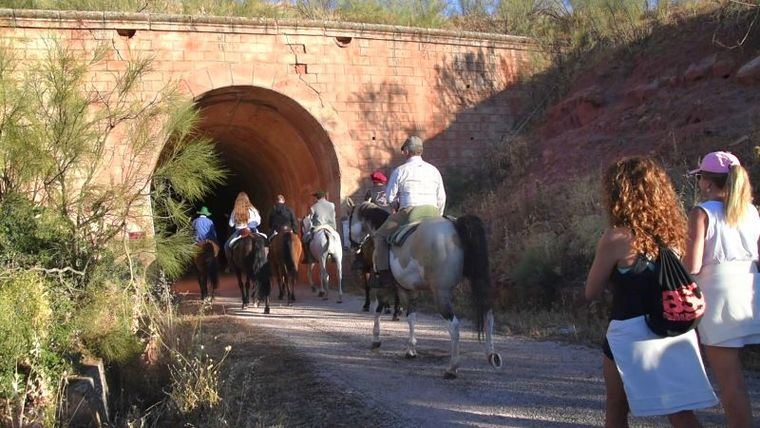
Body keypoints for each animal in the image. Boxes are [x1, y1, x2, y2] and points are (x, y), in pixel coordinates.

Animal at [346, 199, 502, 380]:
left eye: (348, 219)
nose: (352, 246)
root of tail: (455, 225)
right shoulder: (410, 290)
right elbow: (411, 317)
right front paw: (411, 349)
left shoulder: (391, 287)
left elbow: (380, 310)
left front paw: (376, 339)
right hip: (477, 281)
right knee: (488, 315)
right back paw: (491, 355)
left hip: (441, 293)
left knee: (454, 326)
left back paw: (452, 368)